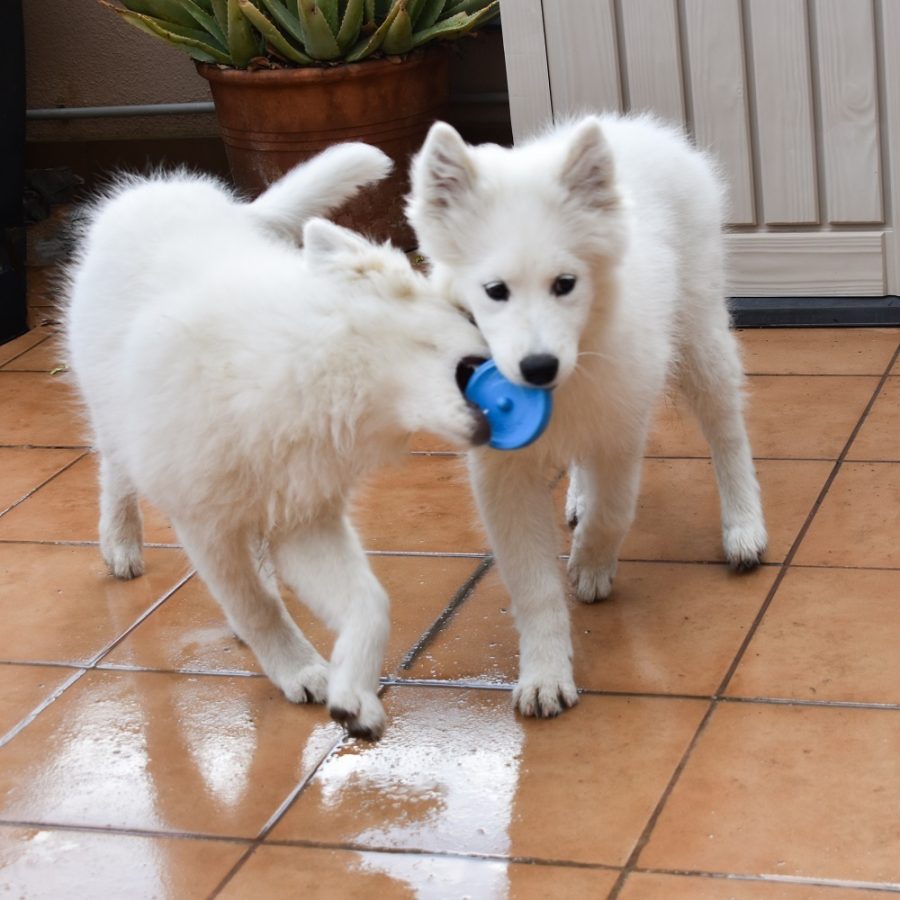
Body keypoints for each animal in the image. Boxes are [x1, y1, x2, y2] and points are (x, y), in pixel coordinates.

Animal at [67, 146, 488, 740]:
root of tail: (161, 188)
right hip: (111, 407)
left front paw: (353, 696)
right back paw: (121, 543)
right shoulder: (203, 522)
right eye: (471, 316)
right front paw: (301, 669)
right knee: (115, 469)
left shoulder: (304, 518)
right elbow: (253, 604)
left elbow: (369, 602)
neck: (318, 369)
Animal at [408, 114, 768, 716]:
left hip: (700, 332)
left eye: (565, 284)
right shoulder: (501, 474)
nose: (538, 368)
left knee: (727, 428)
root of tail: (637, 126)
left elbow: (614, 511)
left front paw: (591, 565)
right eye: (494, 291)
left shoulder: (620, 426)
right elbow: (532, 585)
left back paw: (743, 526)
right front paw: (545, 676)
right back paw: (576, 497)